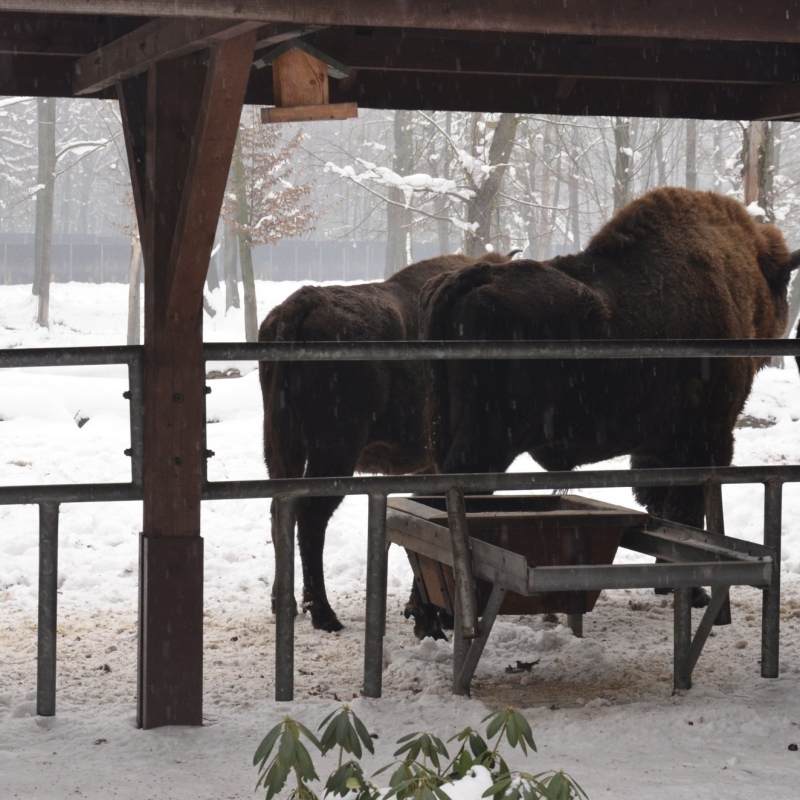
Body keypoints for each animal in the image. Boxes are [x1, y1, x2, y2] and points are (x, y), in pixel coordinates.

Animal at [260, 253, 516, 636]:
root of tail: (301, 303)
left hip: (281, 451)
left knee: (282, 512)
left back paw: (283, 603)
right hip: (333, 453)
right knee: (311, 517)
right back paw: (324, 614)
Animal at [418, 186, 800, 632]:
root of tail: (477, 276)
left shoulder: (659, 448)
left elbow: (666, 508)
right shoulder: (707, 436)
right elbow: (688, 512)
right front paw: (696, 593)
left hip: (444, 432)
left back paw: (426, 614)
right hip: (485, 444)